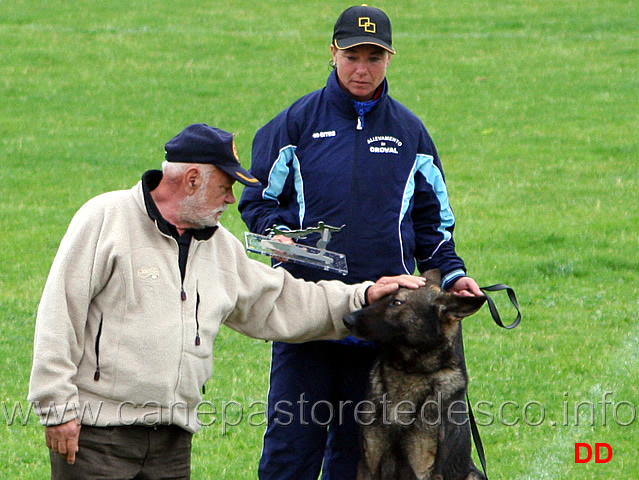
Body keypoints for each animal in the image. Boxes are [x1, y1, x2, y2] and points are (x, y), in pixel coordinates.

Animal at [348, 274, 488, 480]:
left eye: (397, 302)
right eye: (380, 297)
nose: (346, 318)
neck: (407, 370)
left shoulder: (424, 470)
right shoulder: (368, 465)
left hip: (473, 475)